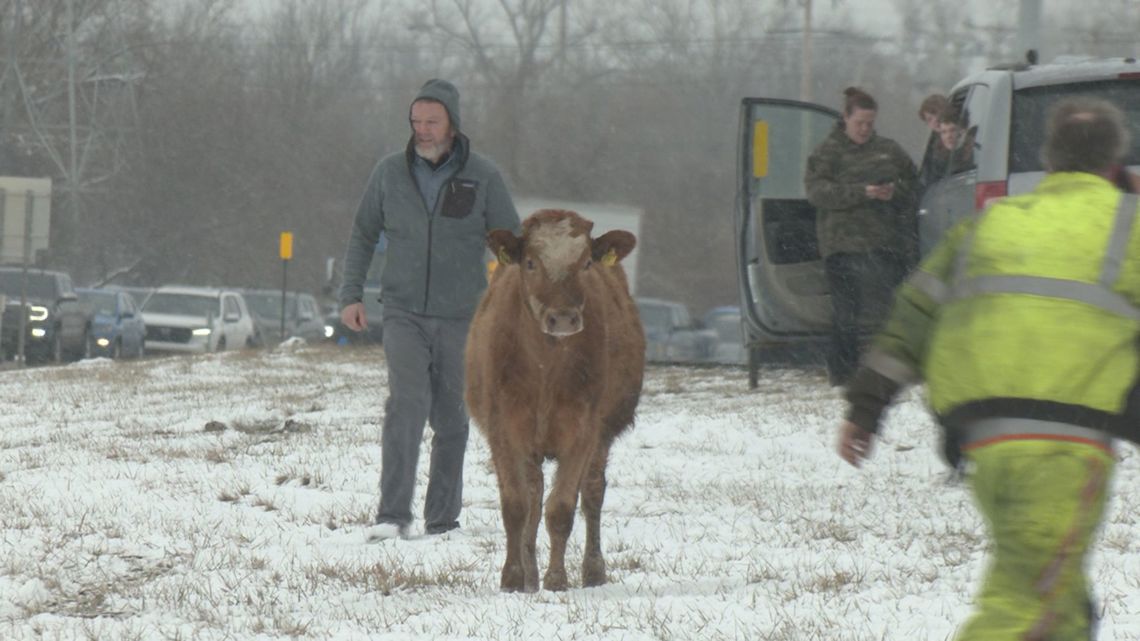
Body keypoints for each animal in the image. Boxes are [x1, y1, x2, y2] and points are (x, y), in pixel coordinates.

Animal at [465, 209, 645, 593]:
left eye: (587, 262)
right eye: (530, 262)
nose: (562, 318)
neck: (545, 366)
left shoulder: (584, 429)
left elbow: (561, 508)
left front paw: (556, 579)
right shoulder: (503, 427)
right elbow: (516, 506)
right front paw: (513, 577)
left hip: (602, 434)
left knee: (592, 493)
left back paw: (592, 570)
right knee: (534, 495)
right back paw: (529, 573)